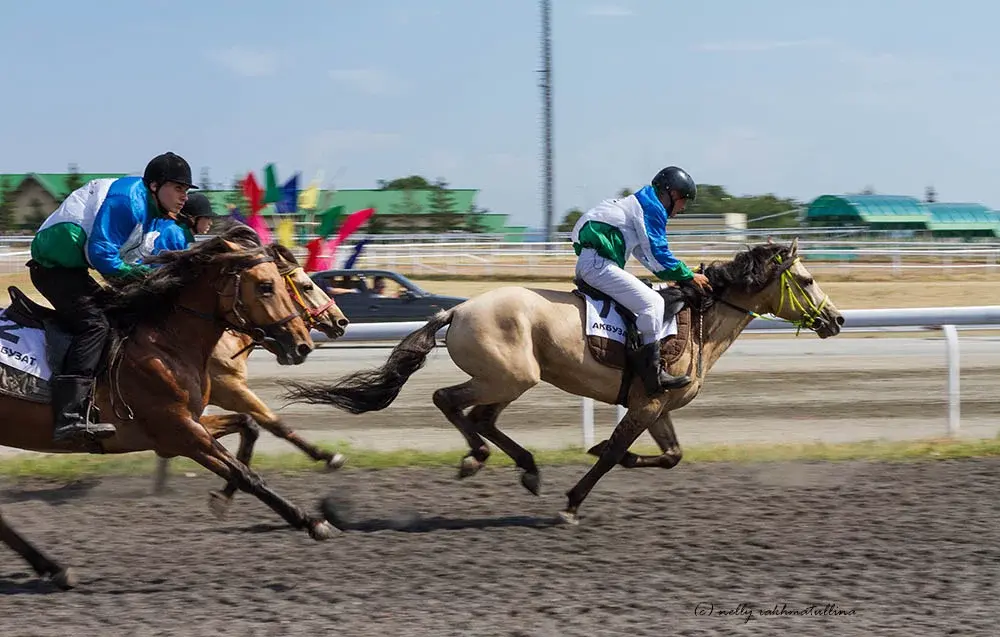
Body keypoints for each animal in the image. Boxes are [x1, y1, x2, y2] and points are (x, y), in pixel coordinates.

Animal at [280, 238, 844, 520]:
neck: (698, 322)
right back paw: (480, 459)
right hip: (511, 377)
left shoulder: (657, 408)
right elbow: (614, 453)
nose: (836, 320)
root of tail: (456, 309)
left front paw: (602, 460)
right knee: (452, 402)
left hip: (509, 381)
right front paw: (573, 501)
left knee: (480, 417)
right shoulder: (645, 405)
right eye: (808, 279)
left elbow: (670, 455)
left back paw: (520, 466)